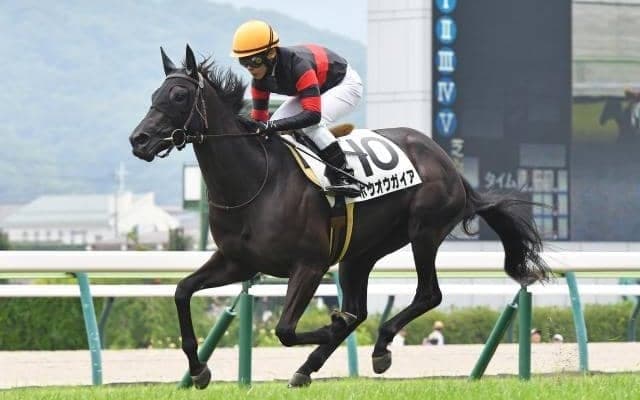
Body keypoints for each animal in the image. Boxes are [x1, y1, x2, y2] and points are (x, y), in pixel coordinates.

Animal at [129, 45, 549, 388]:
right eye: (153, 95)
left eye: (179, 95)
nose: (139, 140)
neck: (256, 181)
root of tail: (446, 160)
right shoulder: (238, 262)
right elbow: (182, 291)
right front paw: (199, 370)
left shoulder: (309, 265)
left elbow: (285, 329)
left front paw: (332, 326)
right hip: (359, 253)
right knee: (360, 310)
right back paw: (312, 366)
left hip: (424, 232)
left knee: (428, 293)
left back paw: (377, 347)